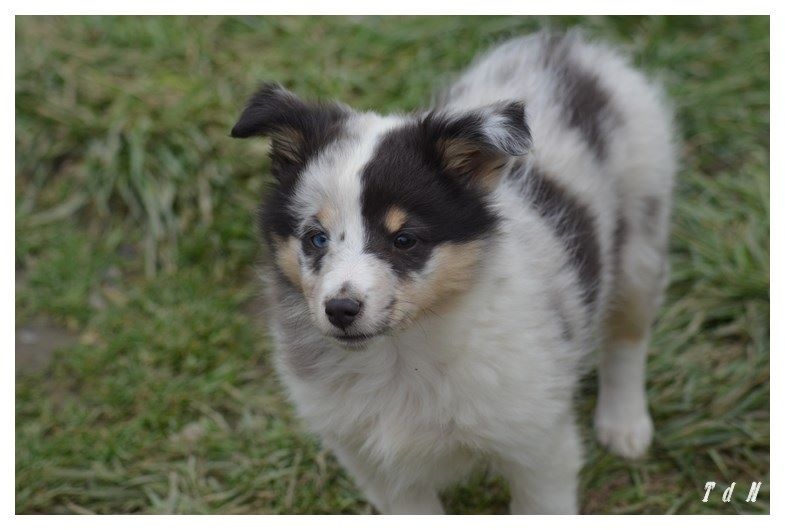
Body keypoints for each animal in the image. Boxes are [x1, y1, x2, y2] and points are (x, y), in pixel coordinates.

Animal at [230, 30, 676, 514]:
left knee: (627, 336)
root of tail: (567, 46)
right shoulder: (376, 466)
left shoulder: (537, 445)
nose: (341, 310)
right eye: (316, 238)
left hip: (643, 230)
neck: (400, 355)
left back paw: (624, 424)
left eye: (404, 240)